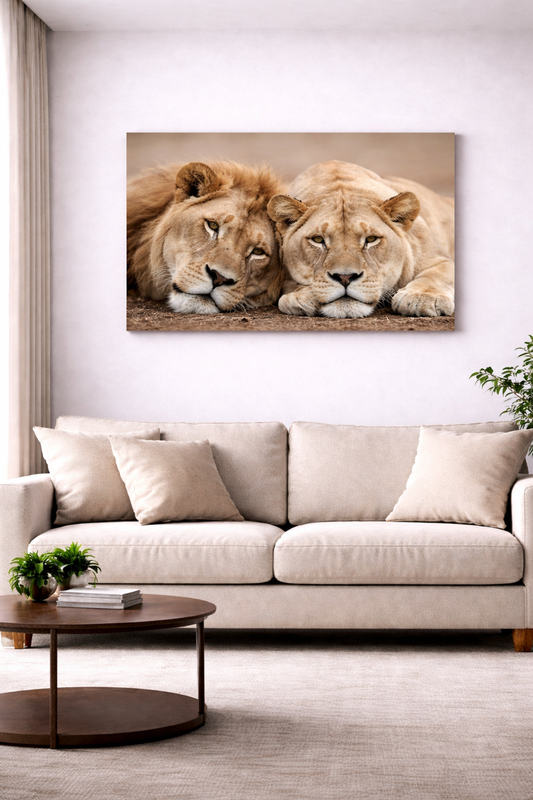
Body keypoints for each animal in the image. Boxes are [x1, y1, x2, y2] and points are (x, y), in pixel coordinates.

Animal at [267, 160, 454, 319]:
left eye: (371, 239)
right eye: (318, 239)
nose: (345, 277)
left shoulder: (440, 259)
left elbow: (436, 274)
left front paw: (422, 297)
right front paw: (300, 296)